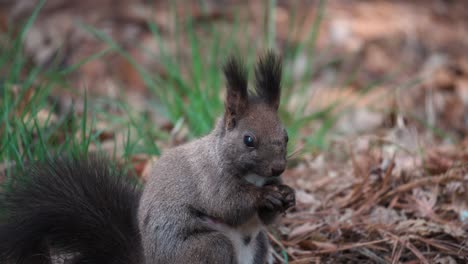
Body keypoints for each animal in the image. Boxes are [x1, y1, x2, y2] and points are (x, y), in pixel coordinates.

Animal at [0, 51, 296, 264]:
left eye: (286, 136)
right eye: (249, 140)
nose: (278, 168)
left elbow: (263, 218)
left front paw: (287, 194)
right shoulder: (209, 178)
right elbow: (227, 203)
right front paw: (263, 196)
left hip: (258, 247)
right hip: (207, 248)